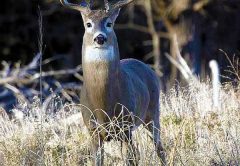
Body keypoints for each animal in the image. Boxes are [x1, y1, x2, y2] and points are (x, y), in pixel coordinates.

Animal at [60, 0, 166, 165]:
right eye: (88, 24)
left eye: (109, 23)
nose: (100, 38)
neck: (103, 106)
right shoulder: (92, 129)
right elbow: (98, 161)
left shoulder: (126, 125)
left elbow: (130, 159)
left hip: (153, 111)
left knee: (159, 148)